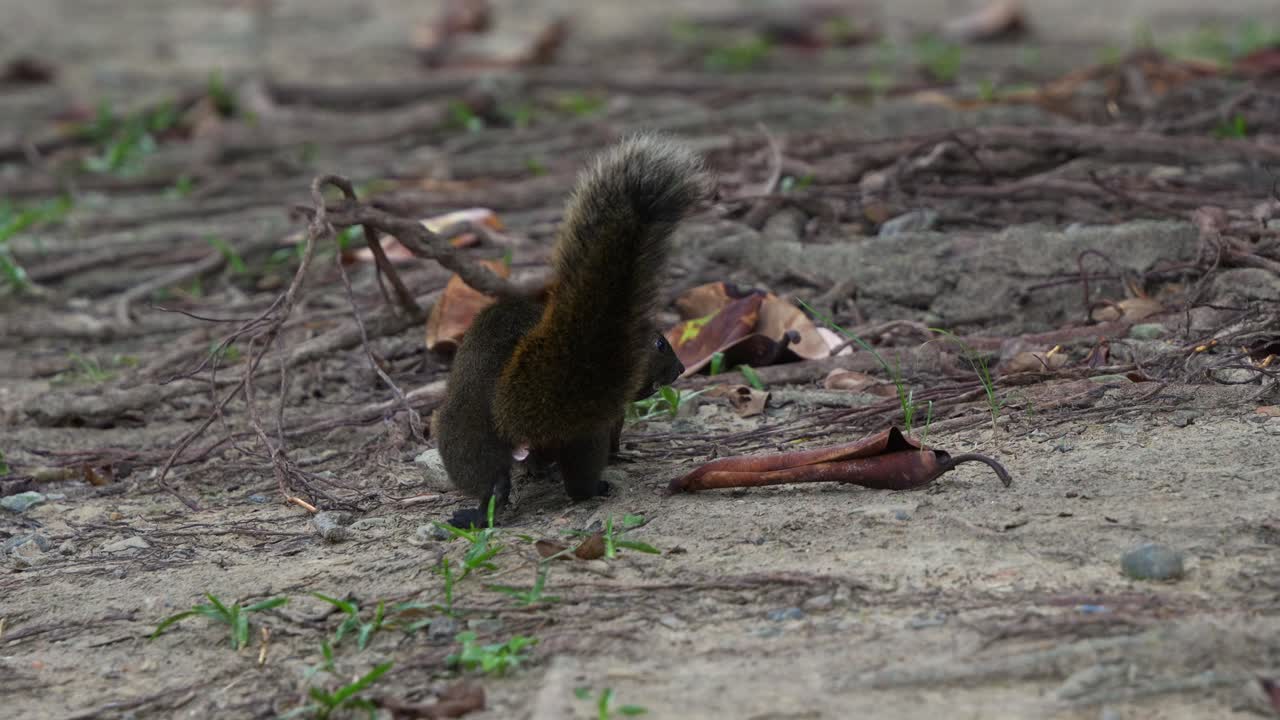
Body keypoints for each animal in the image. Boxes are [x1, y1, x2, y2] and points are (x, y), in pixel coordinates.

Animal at [435, 135, 707, 527]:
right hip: (582, 430)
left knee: (489, 478)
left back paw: (481, 510)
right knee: (578, 477)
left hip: (464, 428)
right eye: (659, 343)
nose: (681, 368)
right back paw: (595, 488)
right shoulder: (610, 412)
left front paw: (537, 470)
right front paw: (618, 455)